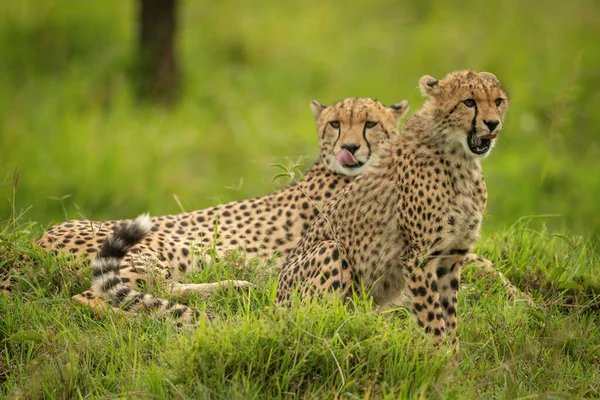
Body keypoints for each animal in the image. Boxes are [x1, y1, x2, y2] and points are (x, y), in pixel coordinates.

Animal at [24, 97, 408, 312]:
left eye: (370, 124)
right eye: (335, 124)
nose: (350, 148)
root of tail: (36, 240)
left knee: (150, 289)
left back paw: (235, 288)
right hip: (152, 250)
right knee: (96, 297)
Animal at [276, 69, 506, 344]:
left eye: (498, 101)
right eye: (469, 102)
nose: (493, 123)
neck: (459, 157)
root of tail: (273, 303)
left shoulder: (451, 257)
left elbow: (449, 318)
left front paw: (452, 353)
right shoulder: (419, 258)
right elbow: (432, 318)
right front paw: (439, 355)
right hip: (330, 252)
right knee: (313, 318)